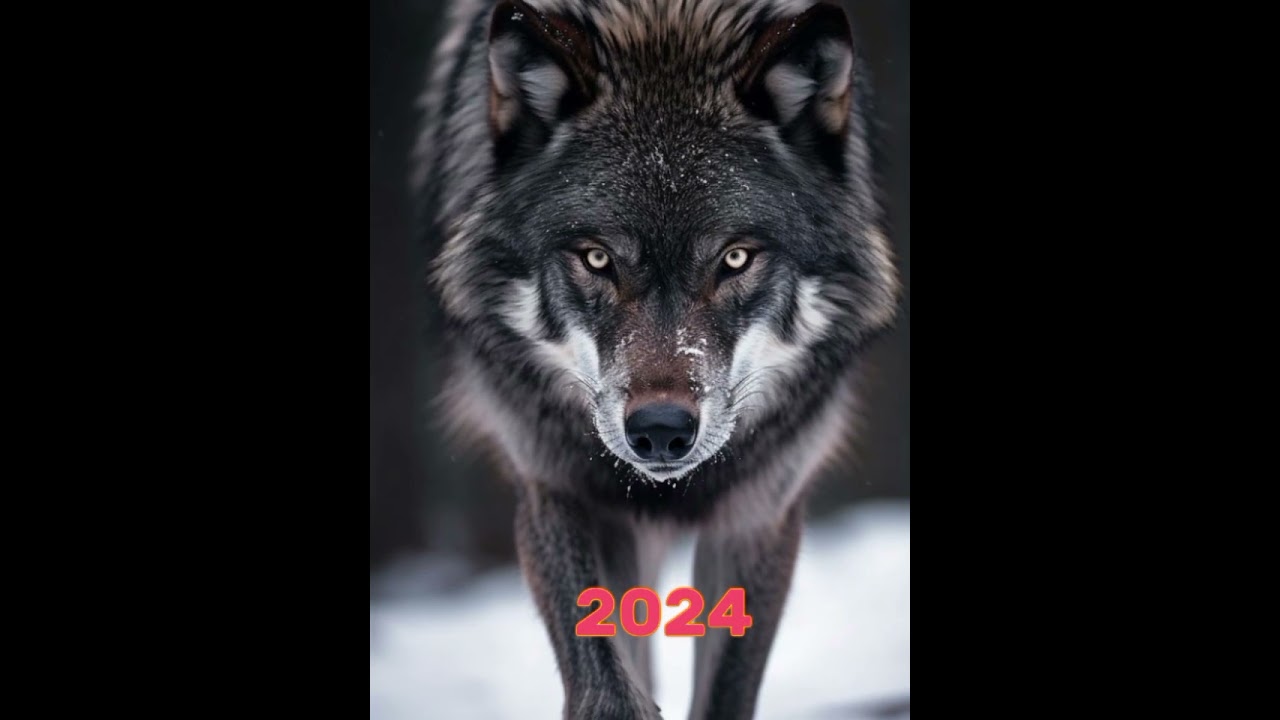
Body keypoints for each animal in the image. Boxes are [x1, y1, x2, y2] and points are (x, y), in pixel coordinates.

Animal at [412, 0, 899, 717]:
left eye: (735, 258)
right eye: (596, 258)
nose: (662, 430)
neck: (666, 29)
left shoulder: (761, 511)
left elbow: (725, 690)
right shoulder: (556, 483)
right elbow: (606, 683)